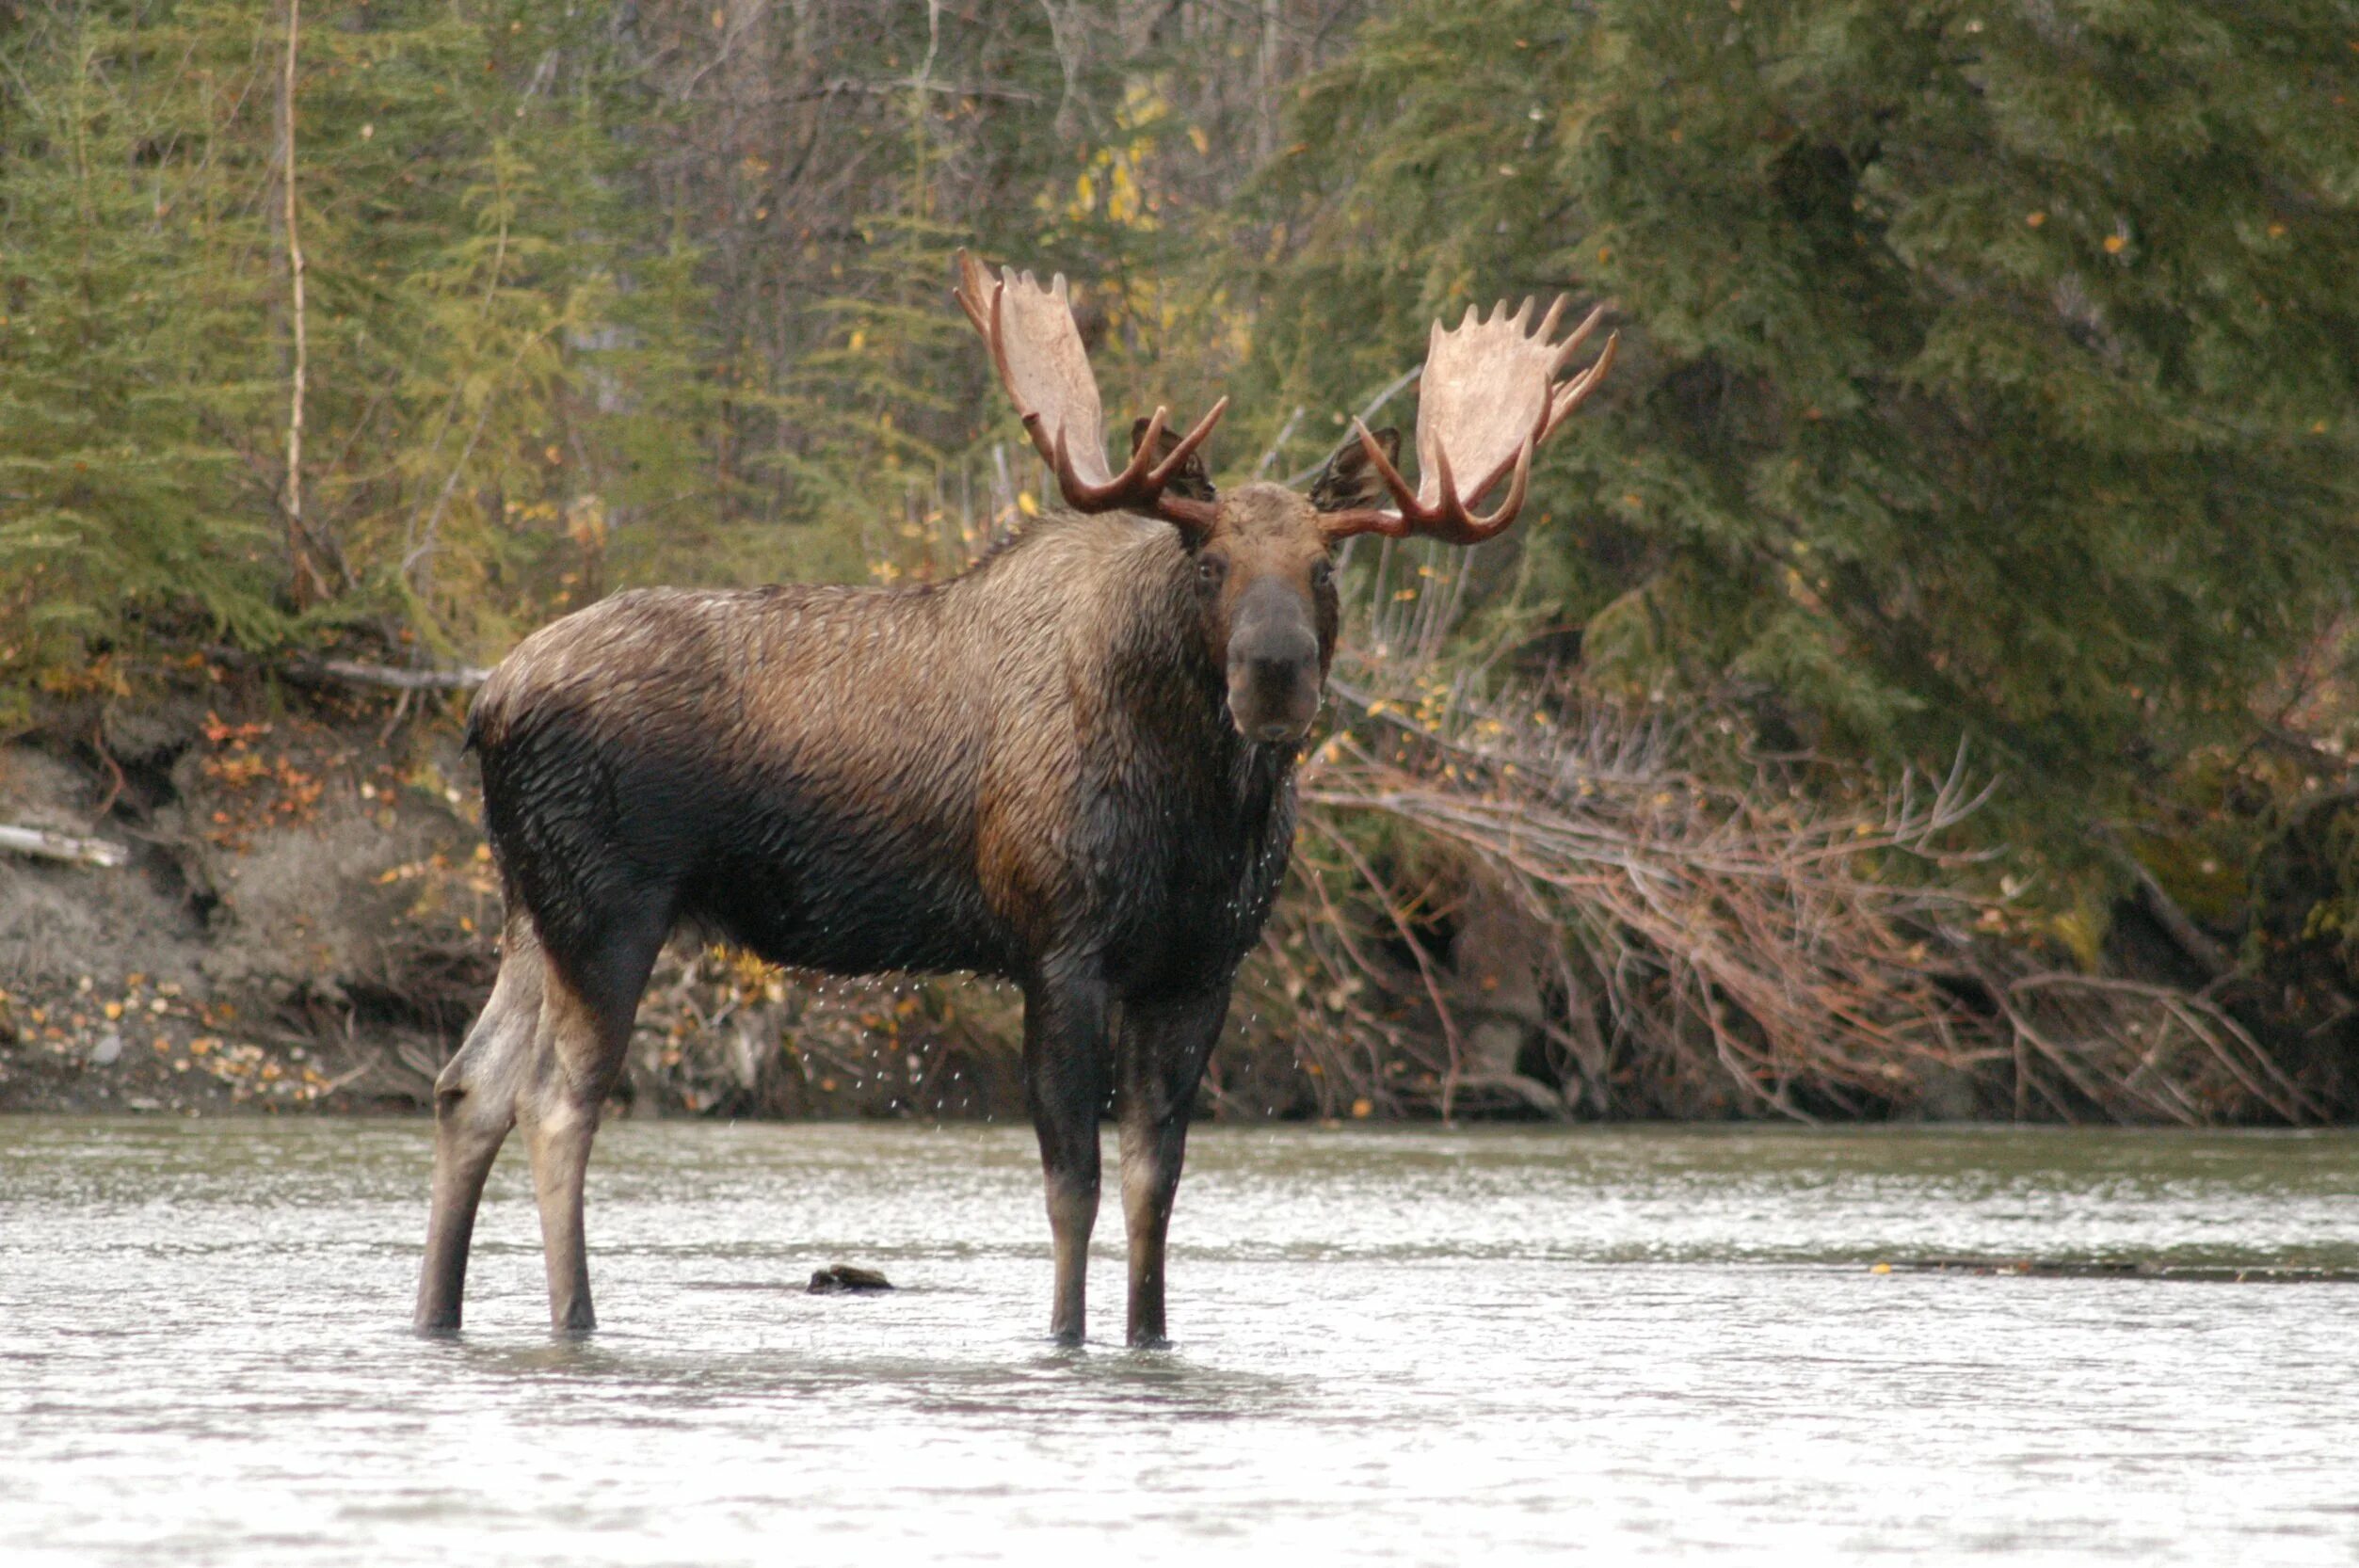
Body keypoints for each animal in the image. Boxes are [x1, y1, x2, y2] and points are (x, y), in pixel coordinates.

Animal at [415, 250, 1613, 1338]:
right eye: (1209, 564)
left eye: (1325, 567)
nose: (1275, 671)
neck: (1195, 818)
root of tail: (486, 701)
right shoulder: (1058, 944)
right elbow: (1071, 1181)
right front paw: (1066, 1336)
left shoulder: (1199, 967)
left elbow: (1154, 1187)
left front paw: (1148, 1336)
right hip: (611, 907)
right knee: (554, 1104)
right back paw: (575, 1317)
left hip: (532, 906)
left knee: (468, 1086)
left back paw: (437, 1313)